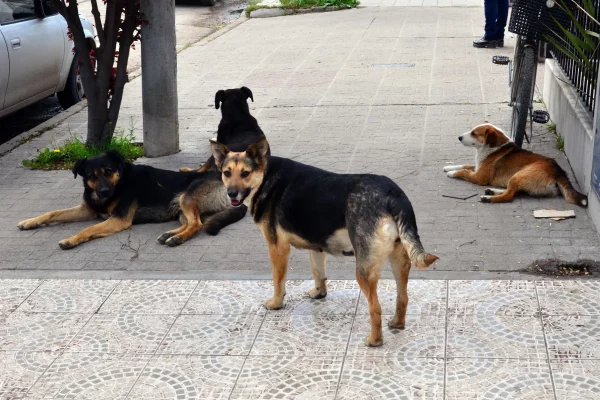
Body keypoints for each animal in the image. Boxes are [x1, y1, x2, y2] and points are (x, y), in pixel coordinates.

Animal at [18, 150, 246, 250]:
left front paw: (71, 239)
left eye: (108, 171)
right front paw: (30, 222)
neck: (120, 183)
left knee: (197, 224)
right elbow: (53, 212)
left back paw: (177, 239)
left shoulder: (119, 219)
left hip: (186, 198)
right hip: (181, 208)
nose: (103, 192)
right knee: (192, 222)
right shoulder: (87, 209)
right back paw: (170, 234)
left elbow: (89, 229)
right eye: (91, 176)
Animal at [210, 135, 436, 346]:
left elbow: (278, 280)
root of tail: (392, 194)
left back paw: (374, 340)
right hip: (400, 261)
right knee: (403, 297)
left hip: (364, 270)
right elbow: (318, 272)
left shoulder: (277, 248)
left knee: (376, 308)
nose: (231, 194)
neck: (266, 176)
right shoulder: (316, 246)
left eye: (245, 173)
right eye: (227, 173)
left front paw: (276, 303)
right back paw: (397, 323)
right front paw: (319, 293)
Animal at [442, 122, 588, 206]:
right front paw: (449, 167)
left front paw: (452, 173)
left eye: (474, 133)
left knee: (509, 196)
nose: (459, 137)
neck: (494, 147)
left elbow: (465, 171)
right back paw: (492, 191)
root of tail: (558, 171)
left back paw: (489, 198)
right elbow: (465, 165)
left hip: (519, 175)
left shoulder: (479, 177)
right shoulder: (478, 167)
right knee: (513, 191)